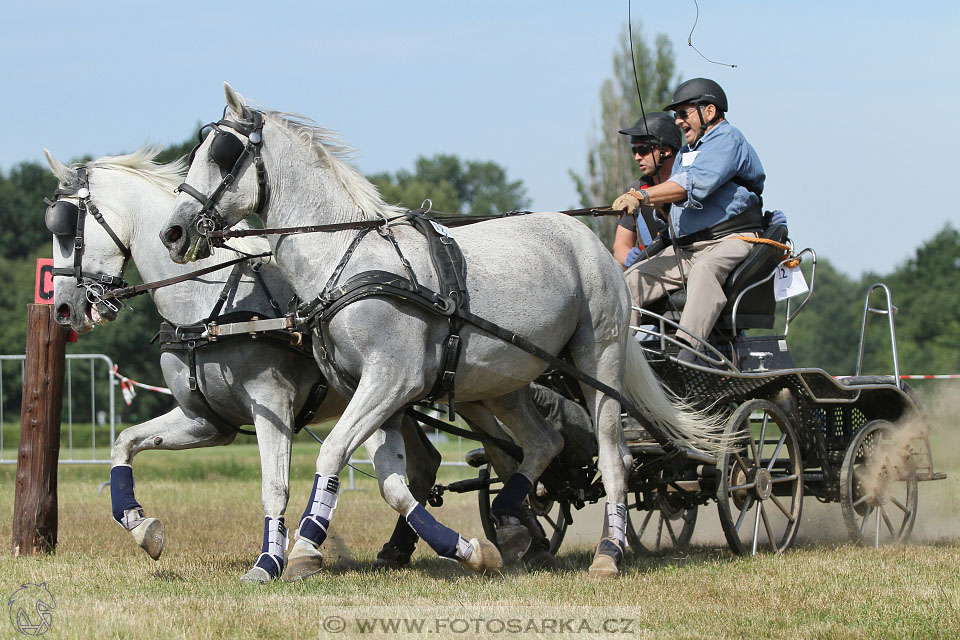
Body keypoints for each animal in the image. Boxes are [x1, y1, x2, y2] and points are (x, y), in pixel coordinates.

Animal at [47, 148, 444, 584]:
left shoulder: (272, 404)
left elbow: (275, 486)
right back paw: (398, 549)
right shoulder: (206, 421)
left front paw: (270, 560)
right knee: (425, 464)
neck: (211, 306)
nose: (63, 309)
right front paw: (140, 525)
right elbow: (126, 441)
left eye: (63, 227)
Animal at [159, 84, 720, 580]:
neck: (348, 260)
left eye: (222, 153)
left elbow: (333, 451)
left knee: (612, 453)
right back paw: (513, 523)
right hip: (503, 379)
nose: (173, 232)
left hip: (596, 358)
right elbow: (393, 481)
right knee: (541, 443)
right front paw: (468, 551)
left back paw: (608, 550)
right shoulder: (373, 391)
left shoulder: (392, 380)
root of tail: (587, 237)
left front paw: (303, 550)